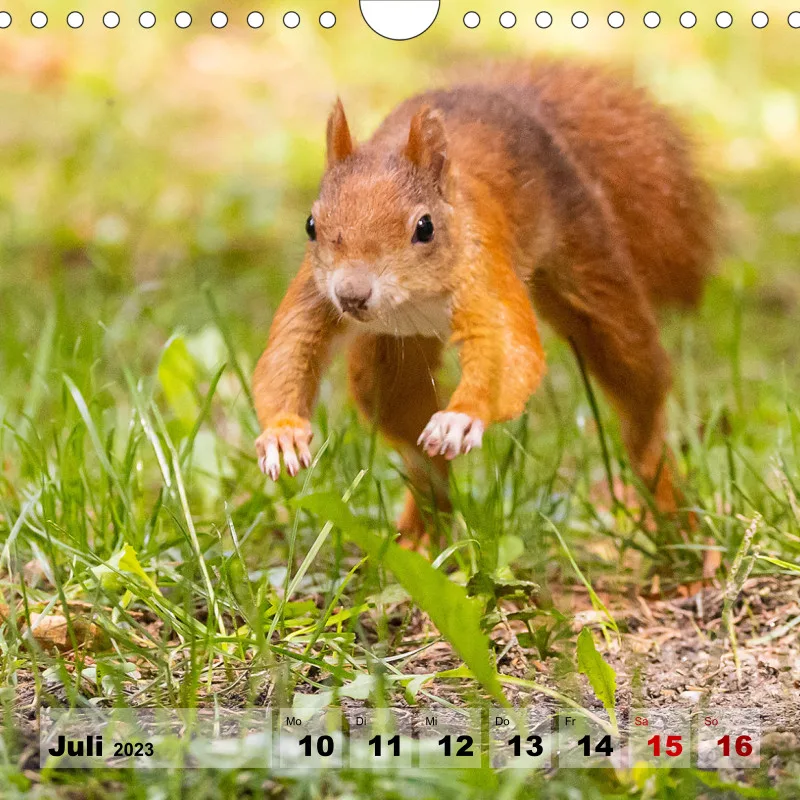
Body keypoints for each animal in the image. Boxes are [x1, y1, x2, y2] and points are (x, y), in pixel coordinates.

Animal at [252, 60, 716, 539]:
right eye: (311, 225)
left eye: (425, 227)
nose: (352, 296)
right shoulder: (315, 293)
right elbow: (288, 352)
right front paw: (282, 434)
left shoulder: (484, 271)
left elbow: (509, 352)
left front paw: (462, 418)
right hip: (391, 355)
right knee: (411, 433)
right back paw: (422, 529)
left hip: (588, 258)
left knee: (636, 383)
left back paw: (668, 505)